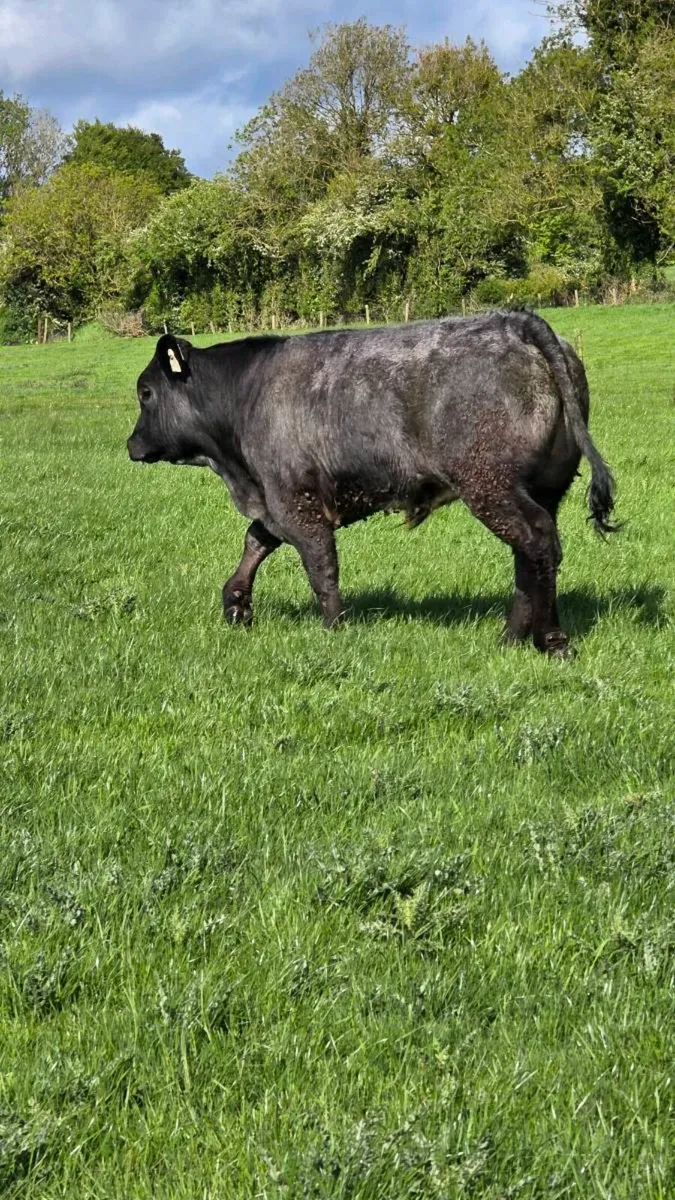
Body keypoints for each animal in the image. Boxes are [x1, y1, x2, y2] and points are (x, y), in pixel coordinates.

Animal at [127, 310, 618, 656]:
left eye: (145, 392)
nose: (131, 444)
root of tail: (515, 321)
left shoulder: (295, 503)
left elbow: (320, 568)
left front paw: (333, 628)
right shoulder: (278, 501)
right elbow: (255, 542)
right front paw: (236, 603)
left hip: (490, 487)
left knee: (537, 544)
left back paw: (551, 639)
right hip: (537, 491)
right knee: (530, 555)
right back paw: (512, 637)